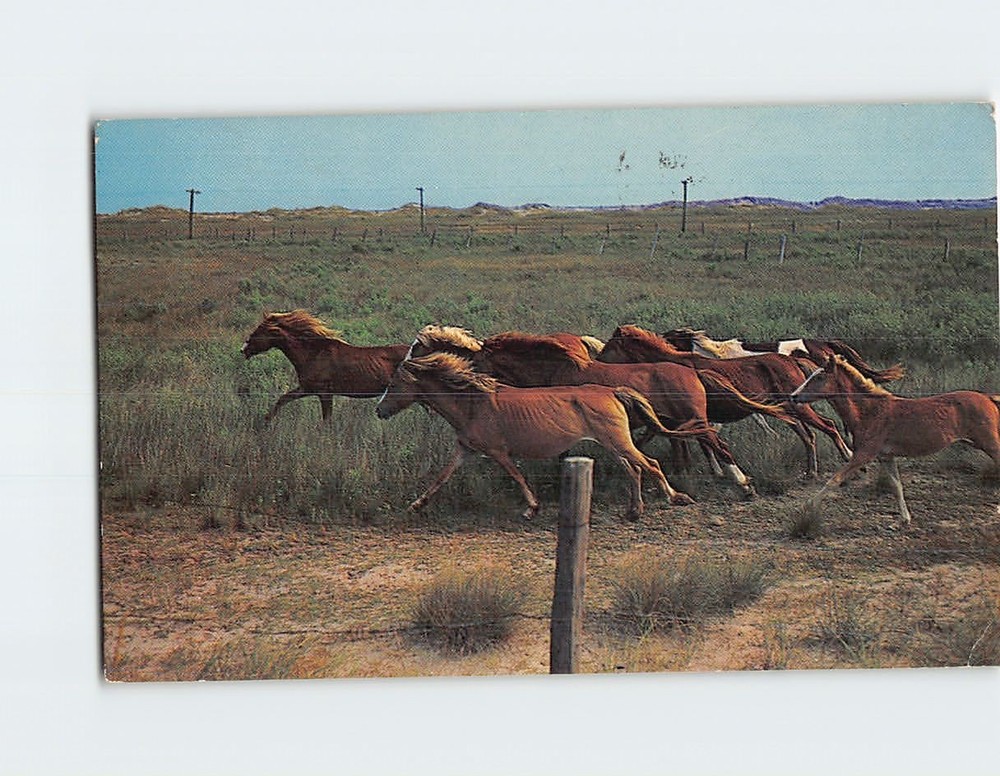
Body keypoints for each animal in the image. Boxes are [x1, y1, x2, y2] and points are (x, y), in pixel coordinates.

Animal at [241, 310, 409, 424]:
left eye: (259, 330)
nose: (243, 349)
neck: (312, 354)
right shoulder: (307, 389)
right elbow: (283, 399)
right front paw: (265, 422)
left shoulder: (324, 393)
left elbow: (326, 421)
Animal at [375, 352, 704, 520]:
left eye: (394, 385)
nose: (379, 410)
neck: (472, 403)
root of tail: (613, 391)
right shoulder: (465, 449)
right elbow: (441, 478)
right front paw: (416, 505)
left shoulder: (498, 452)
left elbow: (517, 476)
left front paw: (531, 508)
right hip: (614, 444)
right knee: (634, 469)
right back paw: (634, 510)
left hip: (619, 442)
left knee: (650, 464)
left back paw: (676, 497)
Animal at [408, 325, 790, 497]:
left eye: (416, 347)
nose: (406, 366)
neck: (556, 370)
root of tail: (693, 371)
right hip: (686, 421)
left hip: (693, 419)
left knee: (717, 444)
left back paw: (741, 481)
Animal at [600, 325, 856, 477]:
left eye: (610, 346)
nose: (597, 359)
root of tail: (793, 361)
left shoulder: (692, 418)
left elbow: (702, 442)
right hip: (789, 410)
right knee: (809, 434)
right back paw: (812, 470)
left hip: (799, 407)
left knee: (828, 426)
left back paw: (846, 457)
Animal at [791, 354, 1000, 525]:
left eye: (819, 377)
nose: (793, 396)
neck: (870, 411)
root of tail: (989, 398)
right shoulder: (886, 457)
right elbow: (896, 485)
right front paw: (905, 519)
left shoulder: (864, 454)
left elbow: (835, 479)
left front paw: (807, 506)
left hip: (990, 444)